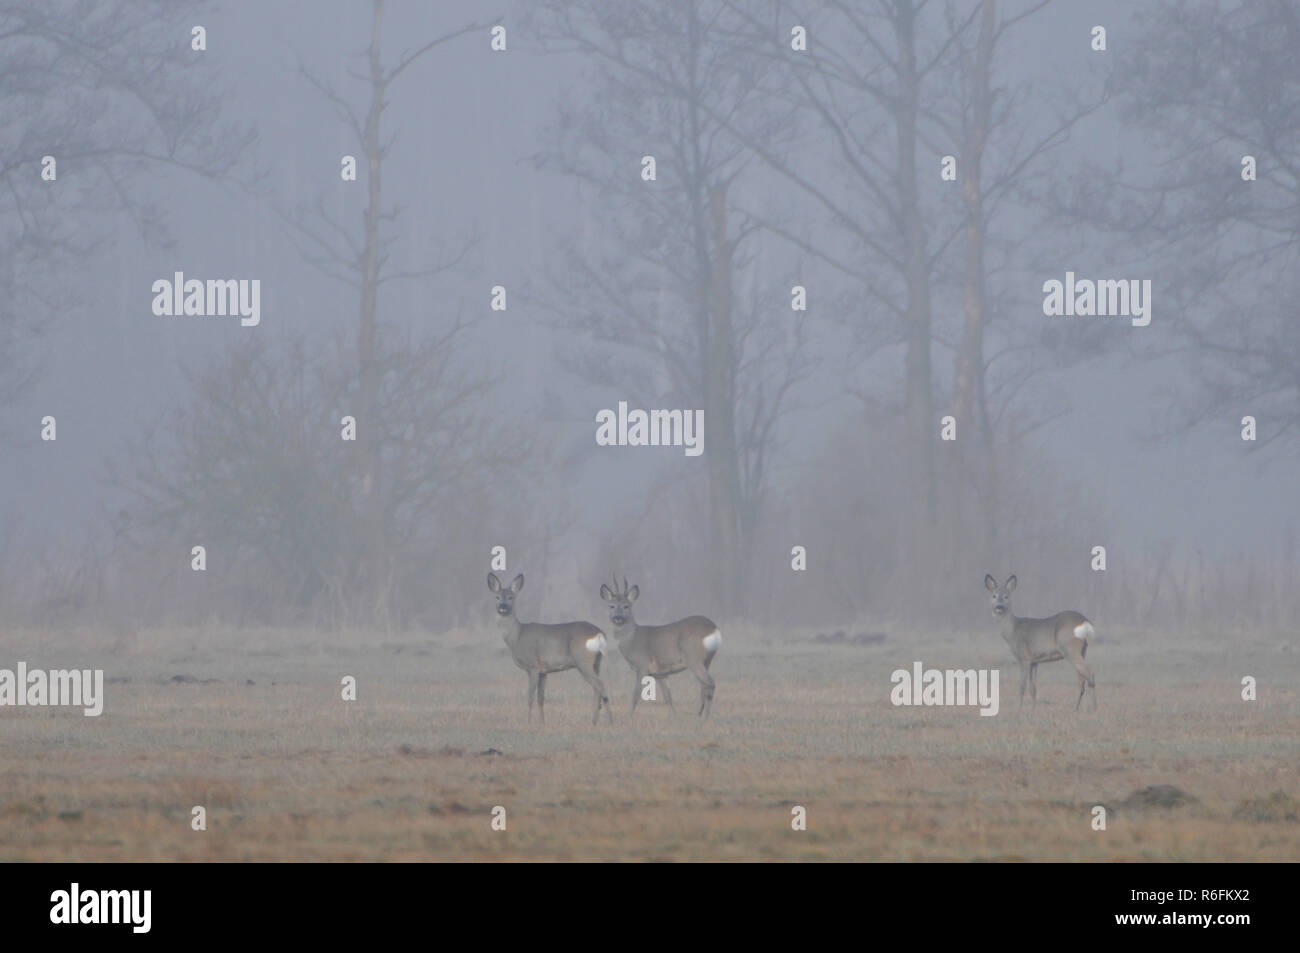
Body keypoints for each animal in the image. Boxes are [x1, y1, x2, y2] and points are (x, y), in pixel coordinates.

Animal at [488, 572, 613, 722]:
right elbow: (541, 699)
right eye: (497, 597)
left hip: (583, 661)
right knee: (597, 688)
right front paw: (542, 723)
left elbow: (530, 697)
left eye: (511, 597)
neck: (517, 636)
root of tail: (599, 633)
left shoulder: (533, 666)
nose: (503, 606)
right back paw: (594, 721)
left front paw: (528, 722)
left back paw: (609, 721)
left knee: (600, 685)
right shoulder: (544, 671)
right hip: (597, 662)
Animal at [598, 577, 722, 717]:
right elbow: (668, 697)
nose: (618, 617)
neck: (632, 639)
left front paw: (628, 716)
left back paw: (704, 717)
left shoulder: (642, 665)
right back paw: (698, 714)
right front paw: (674, 716)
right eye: (611, 606)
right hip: (706, 660)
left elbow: (635, 695)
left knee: (710, 683)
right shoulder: (660, 672)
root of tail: (714, 629)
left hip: (693, 657)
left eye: (626, 606)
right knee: (704, 686)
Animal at [982, 572, 1097, 707]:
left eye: (1006, 596)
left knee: (1089, 674)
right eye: (994, 596)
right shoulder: (1034, 661)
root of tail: (1085, 621)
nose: (999, 607)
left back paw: (1093, 708)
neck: (1013, 630)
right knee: (1081, 680)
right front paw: (1033, 710)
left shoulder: (1024, 657)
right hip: (1083, 650)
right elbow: (1033, 689)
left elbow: (1022, 687)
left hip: (1070, 648)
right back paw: (1076, 709)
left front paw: (1019, 710)